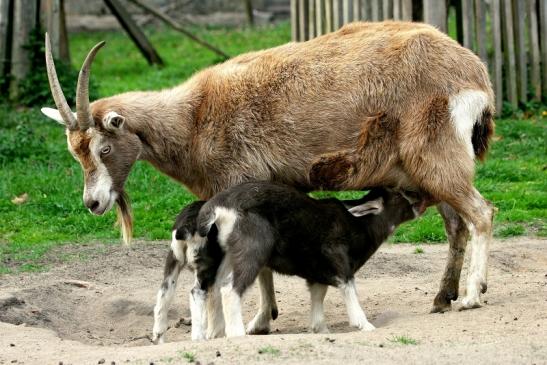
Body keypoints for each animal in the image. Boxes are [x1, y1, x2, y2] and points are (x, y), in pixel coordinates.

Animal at [41, 19, 496, 334]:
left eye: (103, 148)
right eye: (74, 153)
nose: (93, 203)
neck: (194, 116)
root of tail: (474, 73)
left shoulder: (240, 185)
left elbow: (252, 263)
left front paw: (253, 322)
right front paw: (262, 318)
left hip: (438, 161)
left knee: (481, 214)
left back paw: (470, 297)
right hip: (424, 172)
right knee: (456, 224)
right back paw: (442, 297)